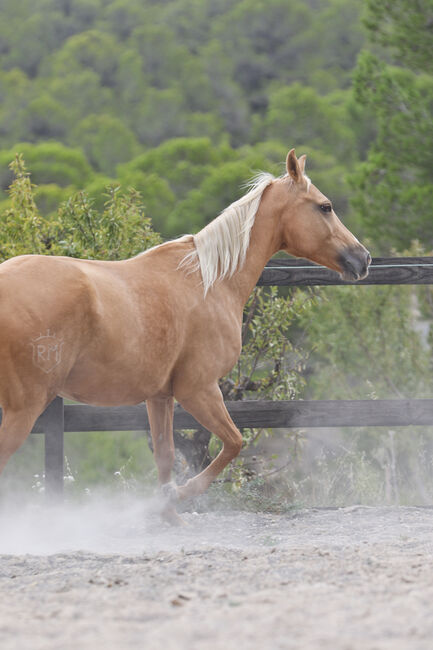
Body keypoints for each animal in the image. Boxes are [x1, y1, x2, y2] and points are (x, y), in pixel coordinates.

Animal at [0, 149, 370, 520]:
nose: (363, 258)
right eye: (325, 206)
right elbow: (233, 442)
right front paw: (181, 494)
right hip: (24, 409)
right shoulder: (199, 389)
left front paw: (167, 513)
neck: (211, 282)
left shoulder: (160, 396)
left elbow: (165, 456)